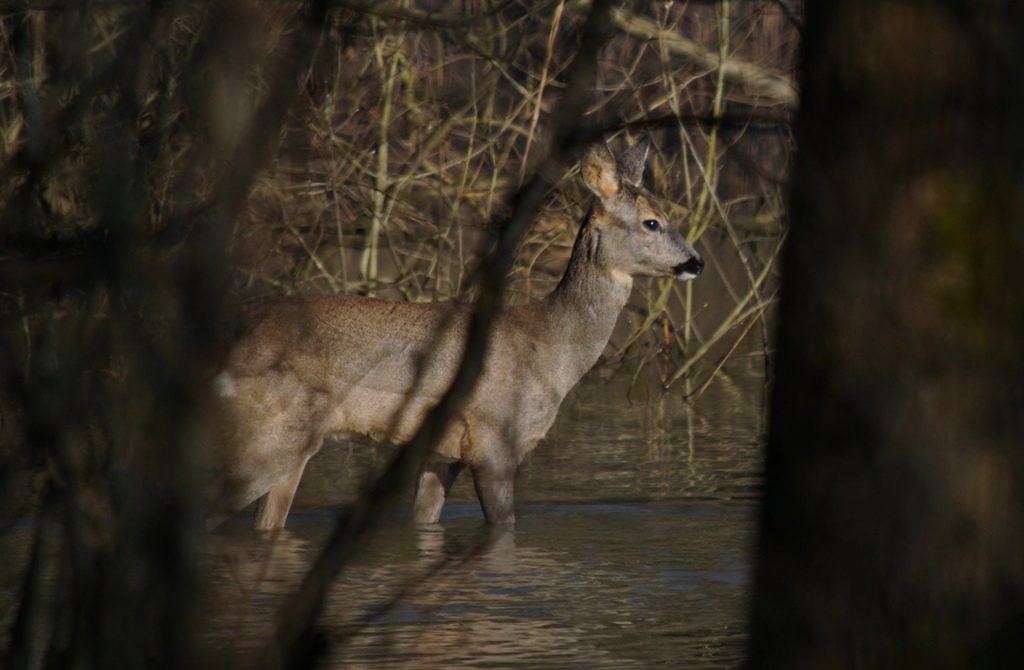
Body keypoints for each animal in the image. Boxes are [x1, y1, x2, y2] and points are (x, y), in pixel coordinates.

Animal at [210, 139, 700, 532]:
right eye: (652, 222)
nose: (696, 262)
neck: (550, 349)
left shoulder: (441, 457)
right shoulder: (494, 439)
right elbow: (503, 529)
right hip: (268, 433)